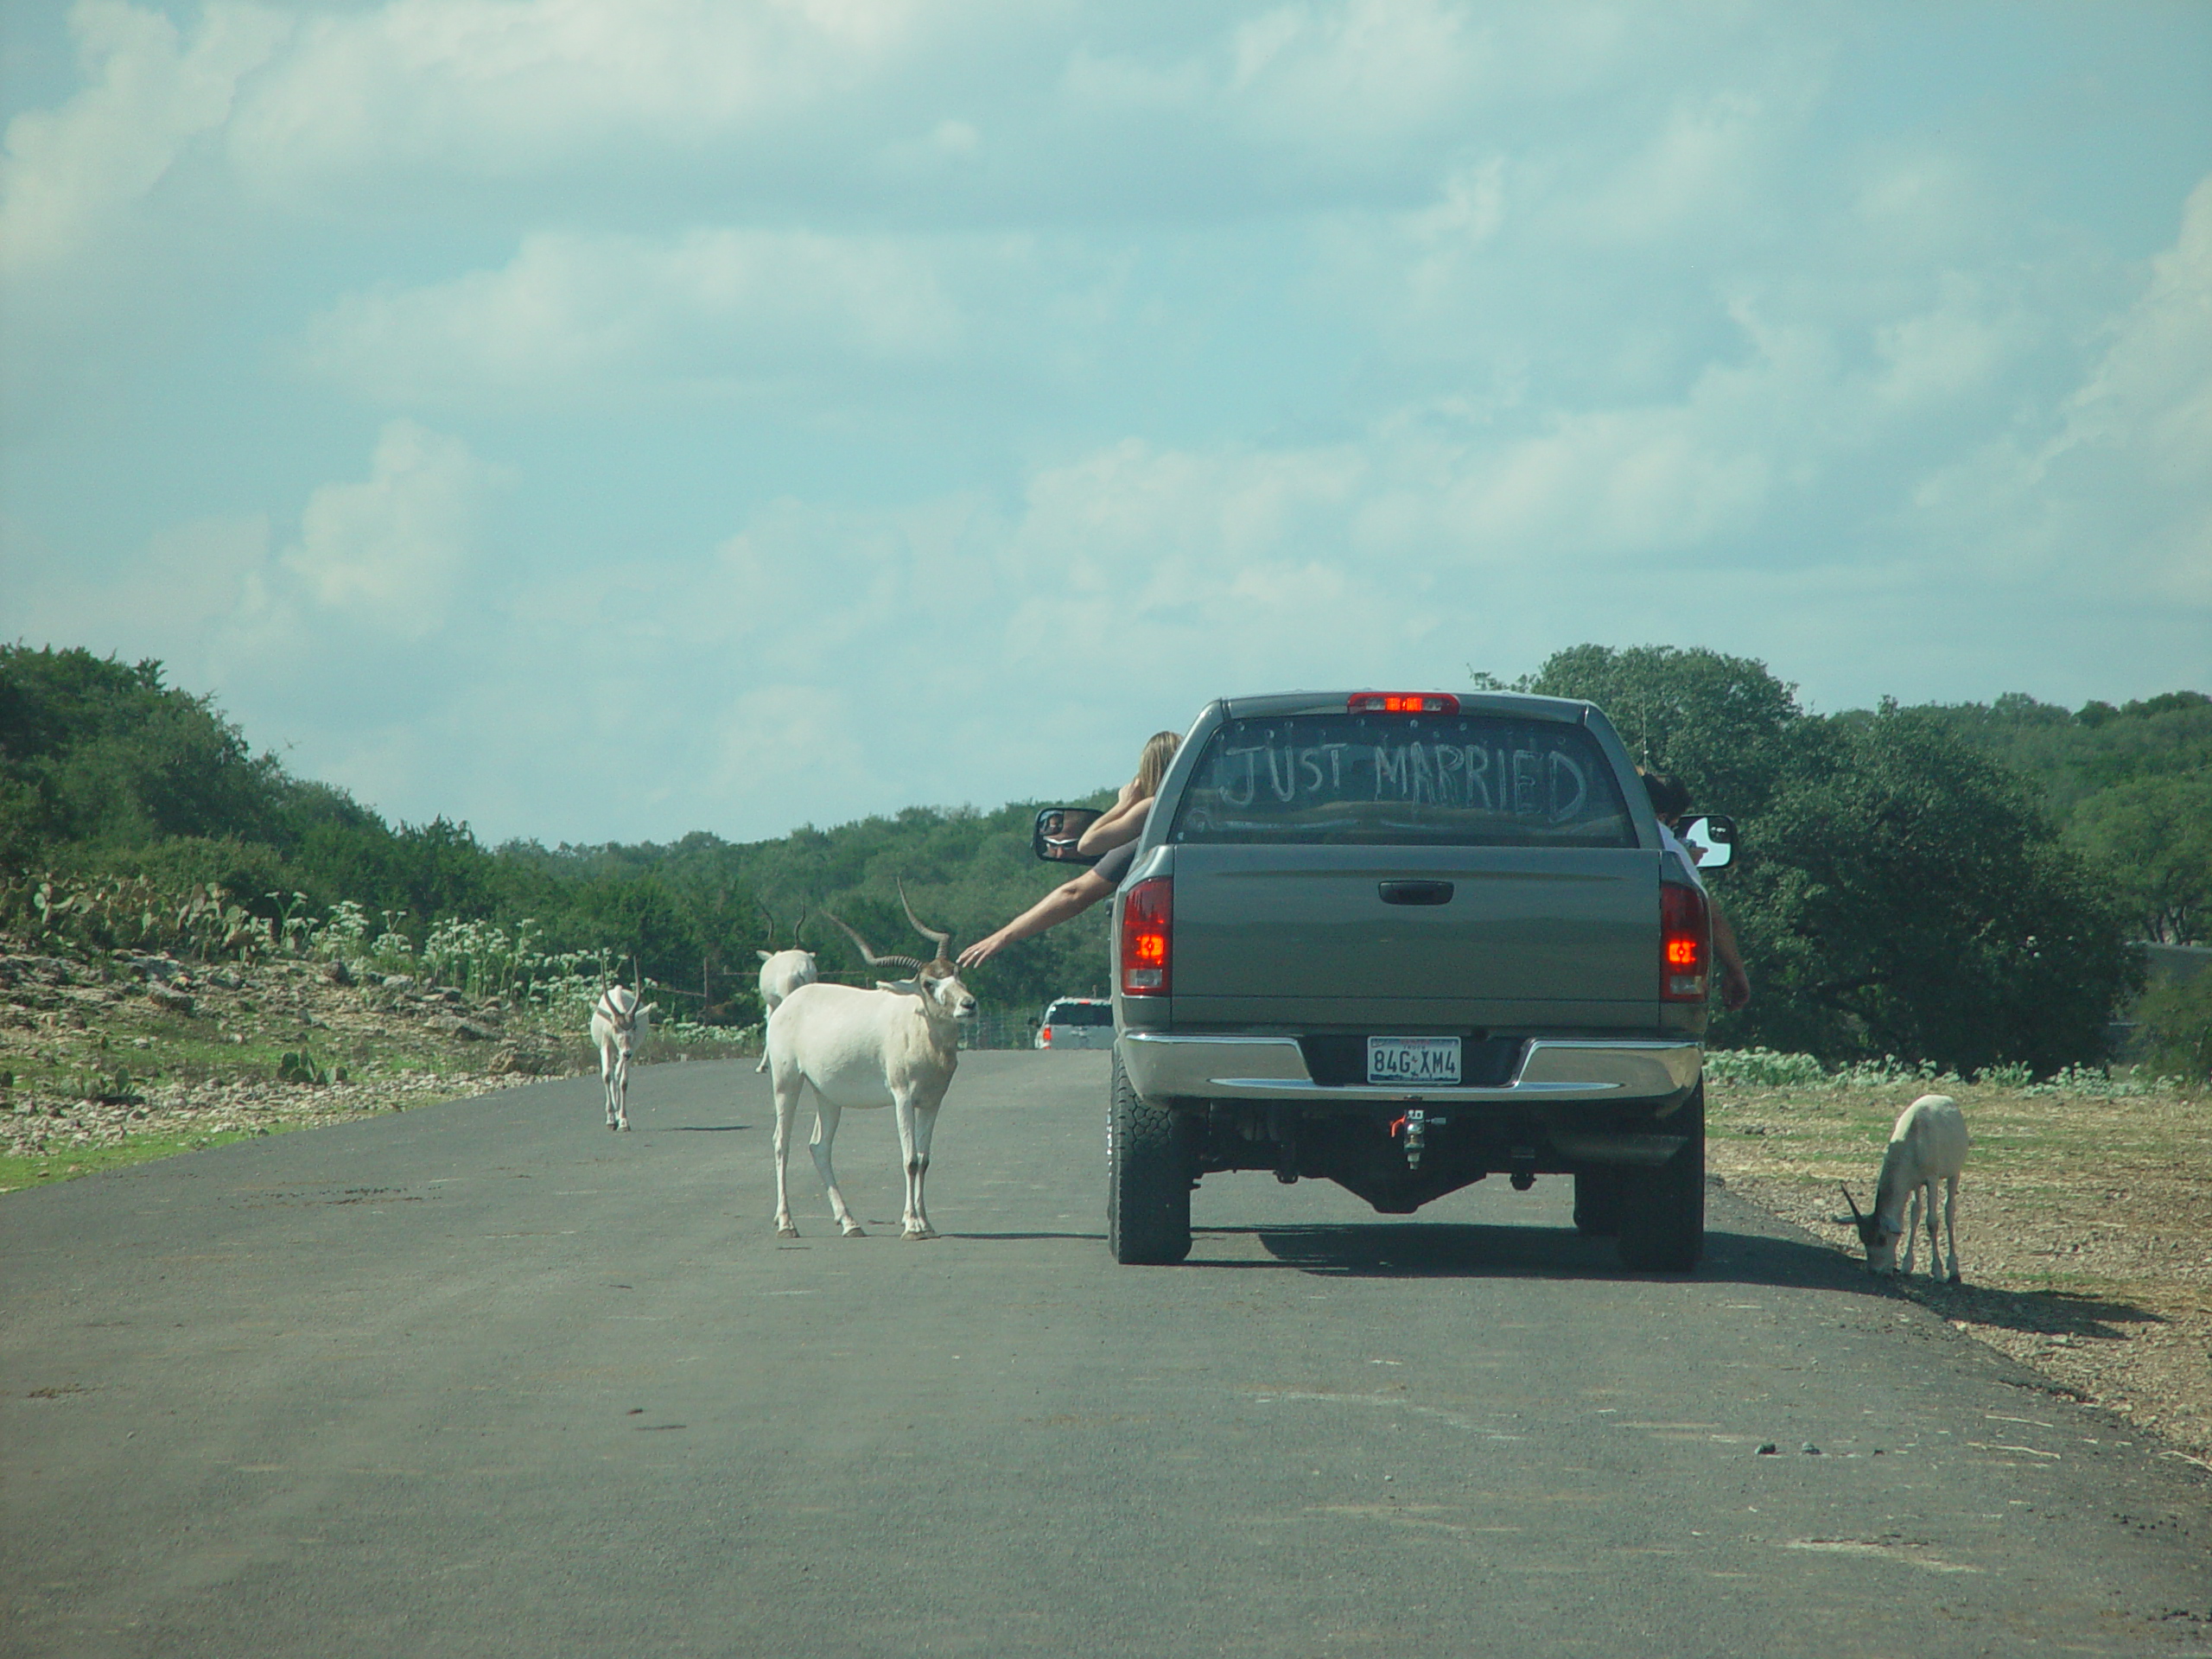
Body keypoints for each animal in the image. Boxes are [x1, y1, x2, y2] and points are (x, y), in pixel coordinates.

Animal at [588, 986, 654, 1132]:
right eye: (615, 1027)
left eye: (634, 1027)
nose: (627, 1053)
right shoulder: (606, 1046)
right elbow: (607, 1076)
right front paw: (611, 1121)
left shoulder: (631, 1050)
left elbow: (623, 1082)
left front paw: (623, 1121)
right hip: (614, 1051)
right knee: (612, 1074)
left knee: (617, 1074)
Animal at [769, 889, 977, 1238]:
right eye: (928, 984)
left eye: (956, 972)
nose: (969, 1004)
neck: (919, 1027)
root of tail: (790, 1002)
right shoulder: (902, 1097)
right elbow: (909, 1159)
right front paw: (913, 1225)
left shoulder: (931, 1102)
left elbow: (924, 1160)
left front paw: (926, 1222)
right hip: (787, 1082)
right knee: (781, 1143)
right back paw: (787, 1224)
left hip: (827, 1095)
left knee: (819, 1146)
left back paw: (850, 1223)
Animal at [1840, 1092, 1981, 1282]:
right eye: (1863, 1238)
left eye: (1882, 1238)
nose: (1873, 1270)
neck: (1913, 1138)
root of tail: (1946, 1099)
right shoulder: (1913, 1182)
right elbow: (1914, 1215)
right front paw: (1905, 1266)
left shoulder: (1931, 1179)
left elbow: (1931, 1222)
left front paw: (1937, 1272)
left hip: (1954, 1173)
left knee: (1949, 1211)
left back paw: (1953, 1271)